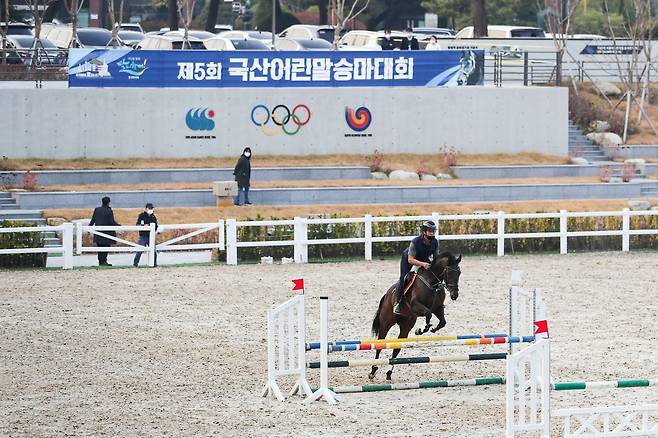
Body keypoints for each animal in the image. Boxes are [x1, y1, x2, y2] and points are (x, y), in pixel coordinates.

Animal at [366, 252, 458, 382]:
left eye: (459, 273)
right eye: (449, 272)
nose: (455, 295)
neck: (432, 283)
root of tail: (387, 294)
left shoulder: (438, 308)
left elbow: (442, 321)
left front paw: (432, 329)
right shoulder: (415, 306)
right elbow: (428, 314)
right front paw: (422, 329)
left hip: (406, 325)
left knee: (397, 348)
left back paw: (389, 372)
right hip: (386, 323)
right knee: (380, 344)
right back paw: (373, 371)